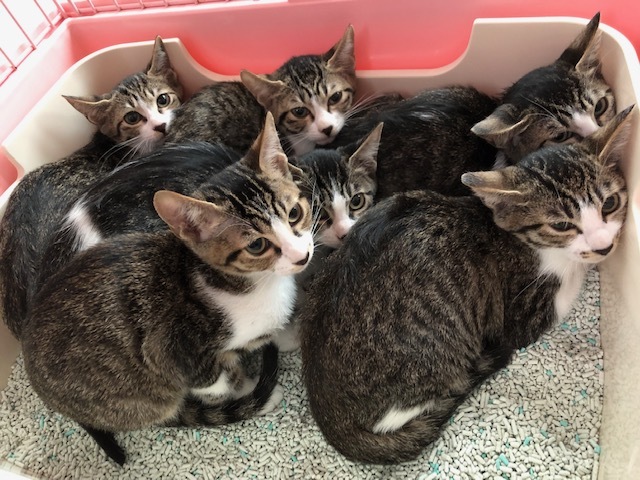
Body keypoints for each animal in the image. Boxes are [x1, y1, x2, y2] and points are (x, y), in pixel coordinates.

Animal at [21, 112, 314, 465]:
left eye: (295, 213)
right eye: (256, 245)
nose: (302, 256)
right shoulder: (177, 353)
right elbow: (220, 378)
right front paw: (252, 385)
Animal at [299, 105, 632, 464]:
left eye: (610, 204)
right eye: (560, 225)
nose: (604, 246)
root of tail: (331, 420)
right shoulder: (525, 314)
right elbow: (570, 279)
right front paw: (584, 264)